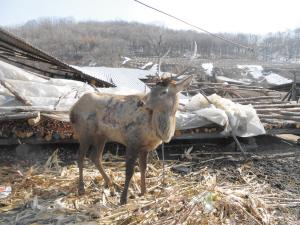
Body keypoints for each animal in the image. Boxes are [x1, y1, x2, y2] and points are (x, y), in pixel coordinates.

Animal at [69, 75, 193, 204]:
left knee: (95, 157)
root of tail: (72, 110)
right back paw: (81, 188)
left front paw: (144, 191)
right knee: (80, 157)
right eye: (152, 89)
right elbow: (129, 171)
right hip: (84, 132)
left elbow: (143, 168)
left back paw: (111, 184)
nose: (141, 102)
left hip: (101, 136)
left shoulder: (145, 147)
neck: (157, 131)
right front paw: (123, 199)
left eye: (164, 92)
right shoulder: (132, 140)